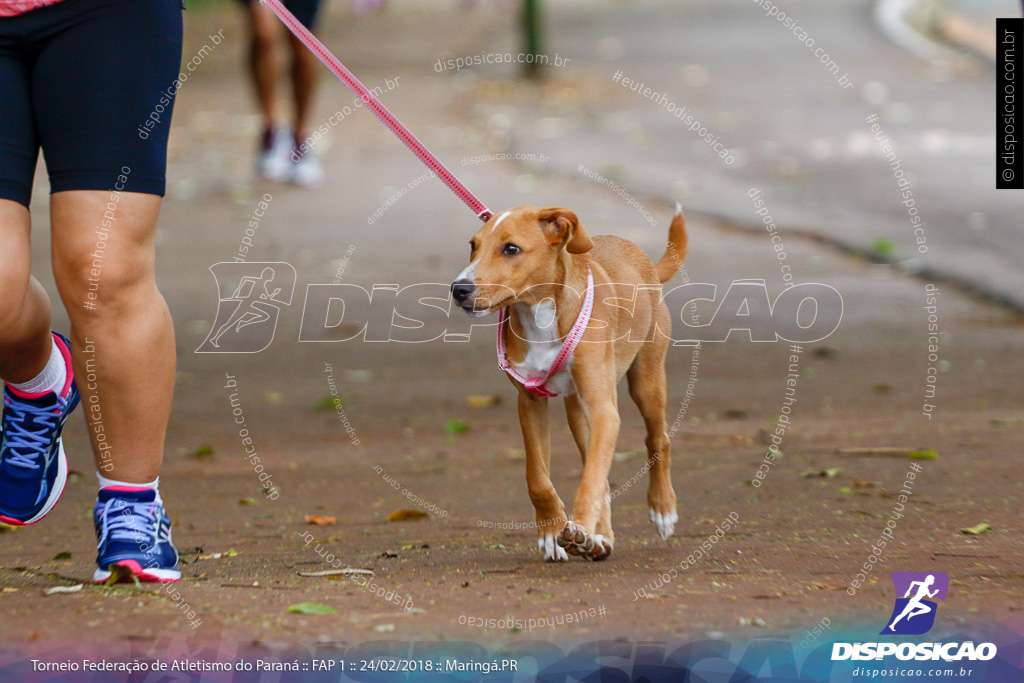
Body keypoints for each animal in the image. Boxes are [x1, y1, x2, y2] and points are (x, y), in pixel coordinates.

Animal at [450, 204, 684, 561]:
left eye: (511, 249)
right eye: (473, 246)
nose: (458, 289)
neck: (540, 315)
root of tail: (645, 262)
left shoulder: (603, 409)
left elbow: (591, 479)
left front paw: (581, 526)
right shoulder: (530, 401)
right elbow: (538, 477)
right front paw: (552, 531)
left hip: (646, 380)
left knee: (657, 439)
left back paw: (661, 508)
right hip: (577, 411)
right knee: (595, 464)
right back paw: (600, 539)